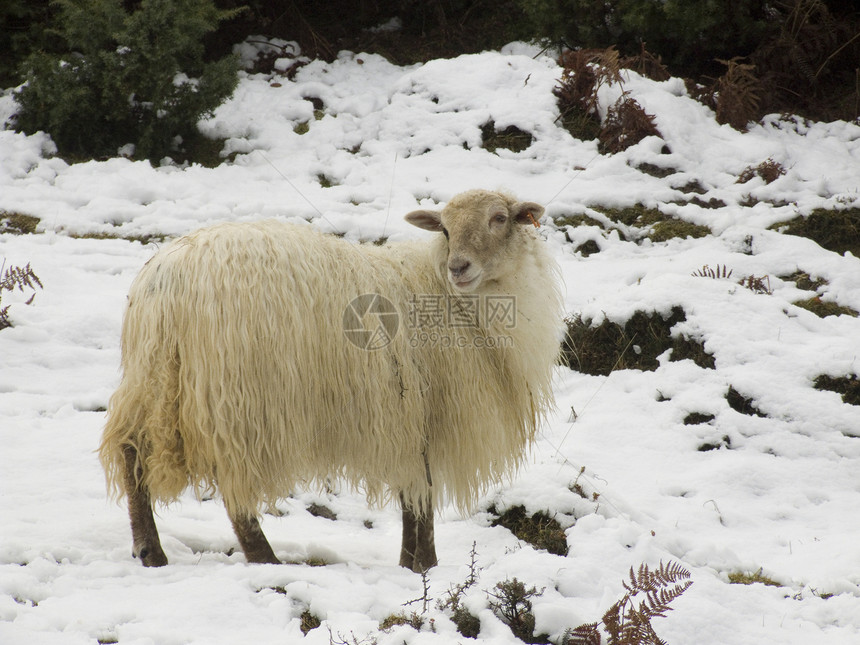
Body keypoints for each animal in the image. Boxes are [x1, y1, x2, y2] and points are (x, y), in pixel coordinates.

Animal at [99, 189, 564, 572]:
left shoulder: (409, 417)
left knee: (130, 449)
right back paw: (263, 558)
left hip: (157, 377)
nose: (459, 266)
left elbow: (414, 495)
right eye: (446, 229)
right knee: (232, 486)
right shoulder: (424, 410)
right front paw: (425, 566)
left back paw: (151, 551)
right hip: (236, 393)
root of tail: (164, 280)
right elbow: (423, 499)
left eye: (499, 218)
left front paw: (409, 563)